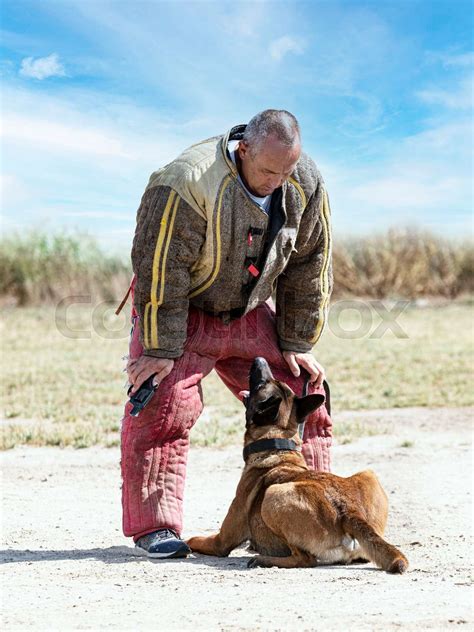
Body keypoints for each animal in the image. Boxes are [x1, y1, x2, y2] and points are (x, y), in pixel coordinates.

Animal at [187, 356, 410, 572]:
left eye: (260, 385)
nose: (259, 359)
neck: (278, 445)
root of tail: (349, 511)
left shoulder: (221, 541)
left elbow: (193, 540)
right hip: (368, 473)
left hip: (273, 495)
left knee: (305, 559)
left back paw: (263, 560)